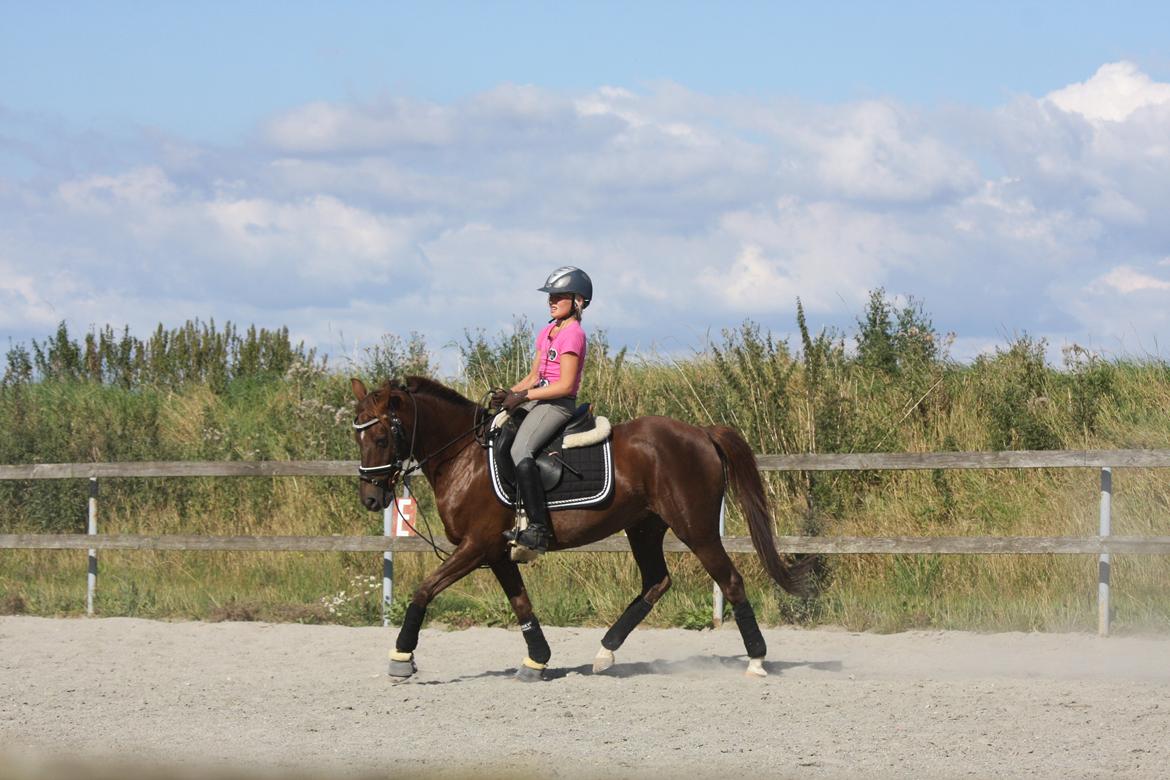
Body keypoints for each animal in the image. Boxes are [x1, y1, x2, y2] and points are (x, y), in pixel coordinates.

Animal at [350, 375, 814, 680]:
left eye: (380, 438)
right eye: (359, 438)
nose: (371, 499)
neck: (464, 454)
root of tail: (700, 432)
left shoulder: (476, 546)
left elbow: (424, 590)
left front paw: (401, 658)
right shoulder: (496, 552)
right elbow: (521, 604)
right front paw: (537, 660)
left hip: (695, 528)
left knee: (729, 580)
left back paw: (757, 660)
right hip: (644, 528)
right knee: (656, 582)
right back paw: (605, 654)